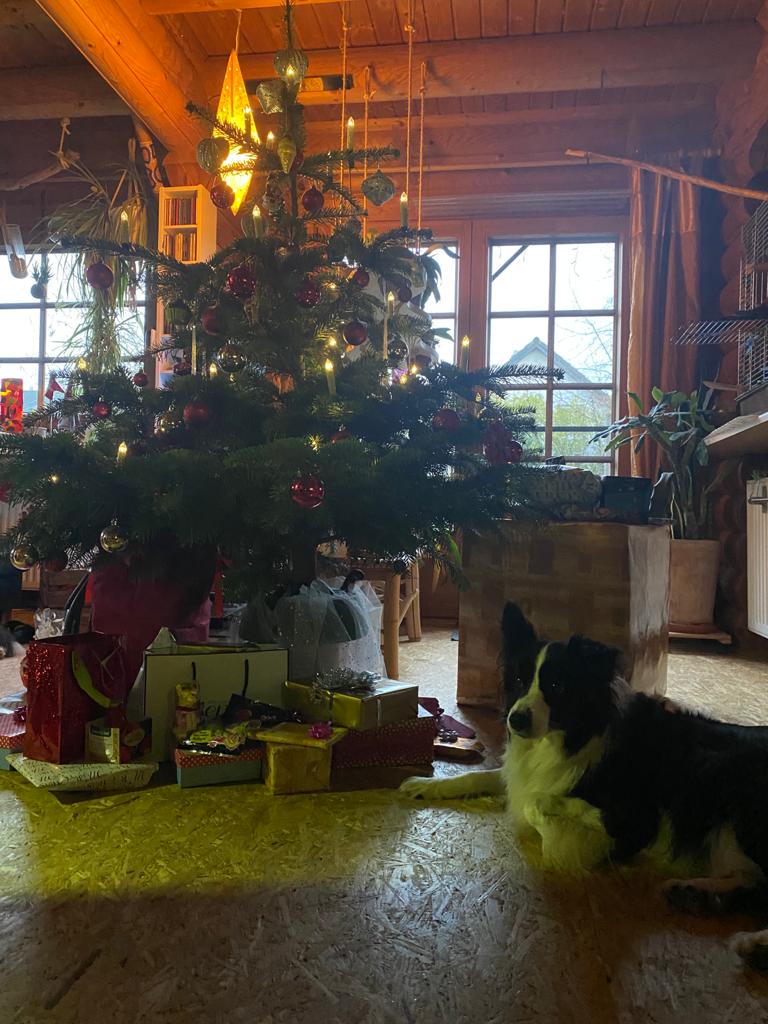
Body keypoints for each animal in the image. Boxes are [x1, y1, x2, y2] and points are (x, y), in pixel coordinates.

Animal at [400, 603, 768, 969]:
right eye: (519, 680)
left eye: (557, 684)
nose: (515, 720)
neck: (573, 736)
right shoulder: (521, 774)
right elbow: (483, 776)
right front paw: (425, 784)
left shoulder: (636, 821)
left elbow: (538, 803)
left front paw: (567, 838)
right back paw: (696, 895)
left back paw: (754, 943)